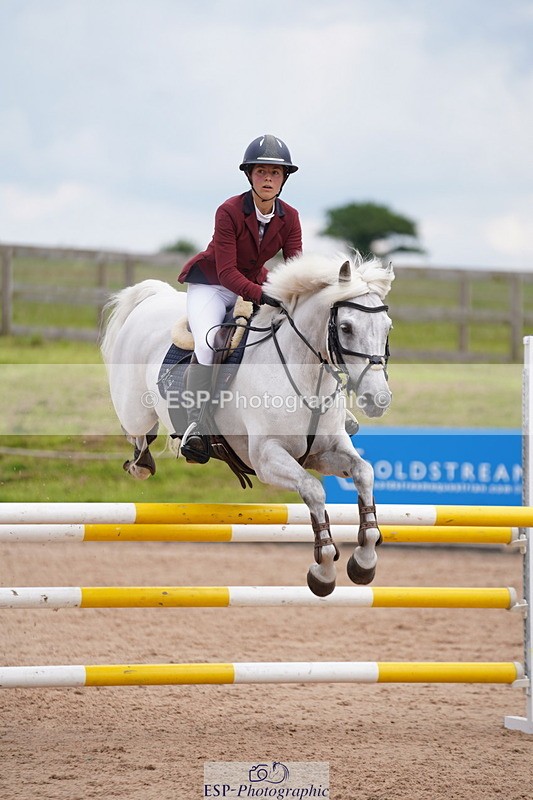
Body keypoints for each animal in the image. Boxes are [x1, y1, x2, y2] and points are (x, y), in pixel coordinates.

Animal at [100, 252, 394, 597]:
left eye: (387, 328)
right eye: (346, 328)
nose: (378, 400)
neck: (306, 375)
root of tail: (155, 297)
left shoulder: (325, 452)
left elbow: (364, 472)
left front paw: (364, 560)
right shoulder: (266, 458)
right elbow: (313, 490)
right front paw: (323, 570)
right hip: (134, 408)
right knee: (137, 434)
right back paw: (143, 463)